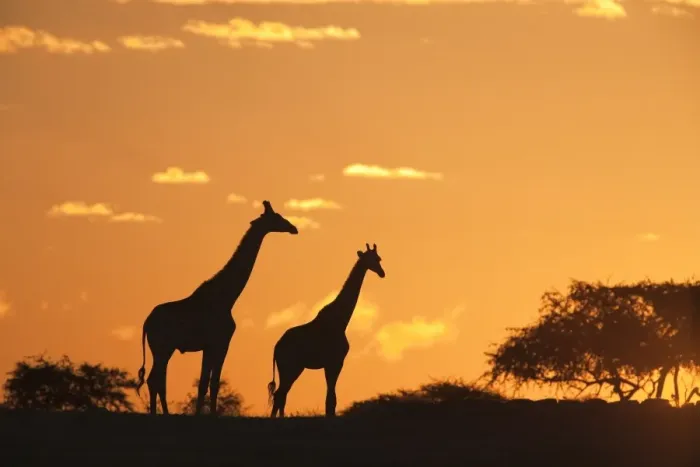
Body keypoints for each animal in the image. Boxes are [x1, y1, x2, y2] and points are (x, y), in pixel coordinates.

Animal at [135, 200, 298, 416]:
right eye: (277, 217)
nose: (293, 228)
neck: (228, 297)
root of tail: (146, 323)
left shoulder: (210, 345)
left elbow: (205, 383)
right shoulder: (221, 342)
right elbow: (213, 383)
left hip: (162, 349)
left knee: (156, 379)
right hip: (163, 347)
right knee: (155, 380)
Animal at [267, 243, 385, 418]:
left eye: (379, 258)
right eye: (372, 259)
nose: (382, 273)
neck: (341, 321)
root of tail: (277, 346)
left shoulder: (331, 363)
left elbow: (330, 397)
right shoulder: (336, 361)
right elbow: (331, 398)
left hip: (291, 368)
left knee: (282, 394)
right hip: (290, 366)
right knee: (280, 394)